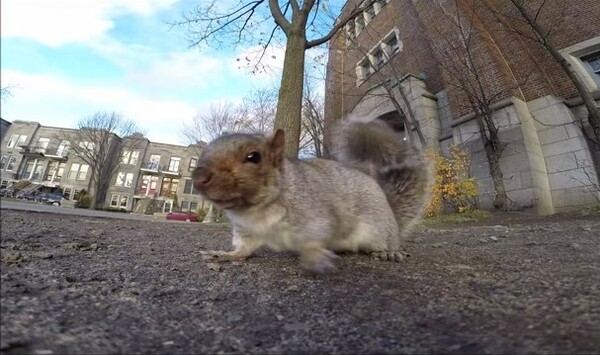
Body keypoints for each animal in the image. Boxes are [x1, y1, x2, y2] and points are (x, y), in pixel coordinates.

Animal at [192, 119, 432, 272]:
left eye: (254, 156)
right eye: (204, 152)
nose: (198, 176)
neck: (256, 210)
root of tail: (391, 212)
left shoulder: (317, 214)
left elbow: (315, 239)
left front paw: (314, 257)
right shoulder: (246, 230)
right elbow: (244, 248)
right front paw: (227, 254)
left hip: (379, 229)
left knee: (389, 241)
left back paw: (390, 252)